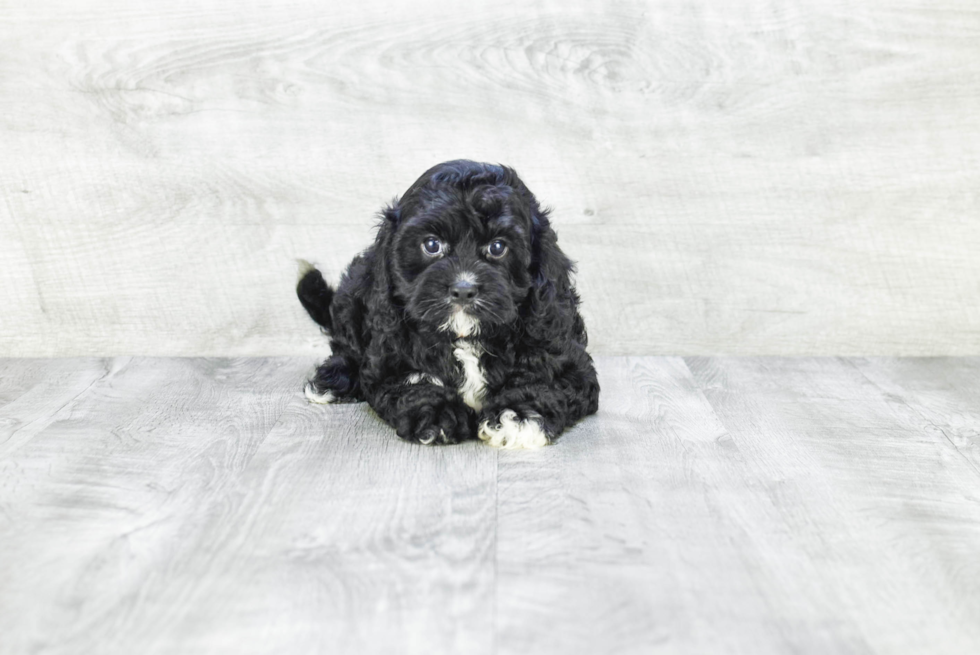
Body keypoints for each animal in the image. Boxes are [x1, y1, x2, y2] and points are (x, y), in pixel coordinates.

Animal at [294, 160, 596, 446]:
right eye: (431, 245)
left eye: (498, 247)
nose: (463, 289)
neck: (464, 335)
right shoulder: (388, 355)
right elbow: (412, 379)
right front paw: (438, 413)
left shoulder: (561, 350)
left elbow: (544, 379)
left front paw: (517, 416)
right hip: (355, 290)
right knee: (346, 345)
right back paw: (332, 380)